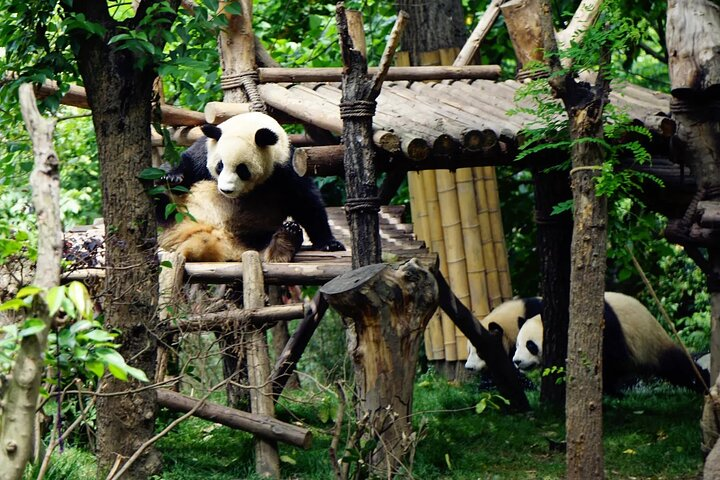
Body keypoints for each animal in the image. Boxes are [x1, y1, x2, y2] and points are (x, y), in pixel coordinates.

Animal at [157, 112, 345, 262]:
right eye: (220, 166)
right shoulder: (204, 152)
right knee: (162, 204)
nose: (226, 190)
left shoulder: (286, 166)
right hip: (178, 216)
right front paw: (172, 177)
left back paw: (286, 239)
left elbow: (306, 202)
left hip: (255, 237)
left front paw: (329, 243)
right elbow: (187, 163)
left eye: (242, 170)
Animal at [512, 291, 708, 393]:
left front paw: (609, 389)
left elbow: (611, 358)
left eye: (530, 345)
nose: (517, 361)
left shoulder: (605, 328)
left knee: (678, 365)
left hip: (651, 342)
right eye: (517, 345)